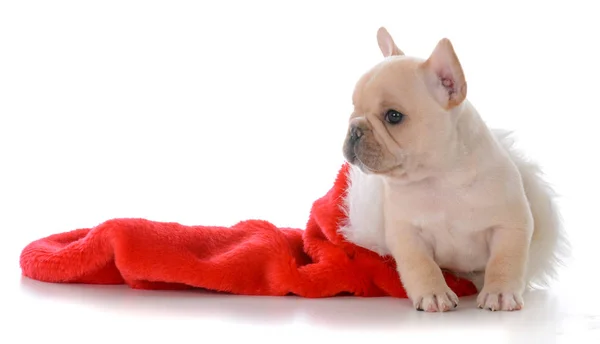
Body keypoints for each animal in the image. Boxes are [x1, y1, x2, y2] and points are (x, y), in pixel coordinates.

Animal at [340, 26, 568, 312]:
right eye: (353, 108)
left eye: (393, 116)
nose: (354, 129)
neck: (439, 178)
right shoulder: (408, 235)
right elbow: (421, 266)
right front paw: (434, 294)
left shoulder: (510, 226)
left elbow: (504, 262)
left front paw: (499, 292)